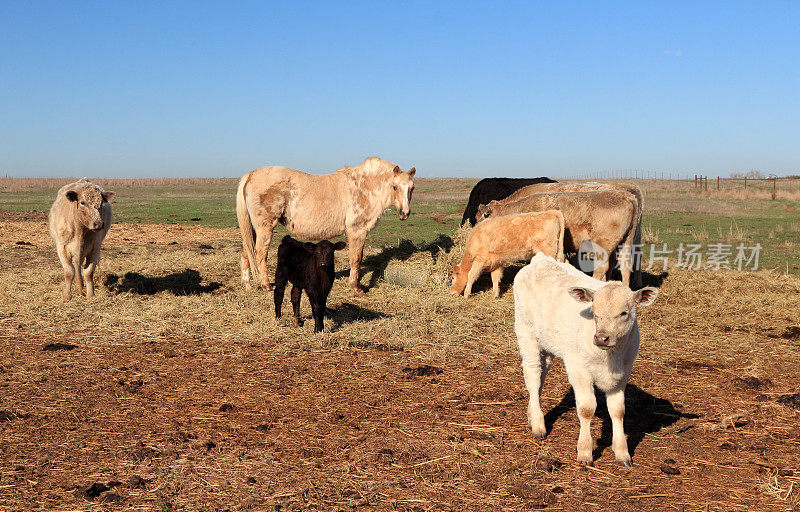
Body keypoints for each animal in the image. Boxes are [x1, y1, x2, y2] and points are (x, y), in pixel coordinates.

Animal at [236, 156, 416, 294]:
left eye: (412, 188)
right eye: (395, 187)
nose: (405, 213)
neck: (364, 187)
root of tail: (251, 175)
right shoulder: (357, 231)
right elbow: (356, 259)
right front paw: (355, 288)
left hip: (253, 229)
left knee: (246, 251)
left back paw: (247, 285)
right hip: (264, 228)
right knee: (260, 253)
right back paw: (266, 286)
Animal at [516, 254, 660, 466]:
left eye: (624, 313)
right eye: (594, 311)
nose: (601, 338)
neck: (610, 358)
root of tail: (540, 259)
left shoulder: (623, 373)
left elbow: (618, 410)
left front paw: (622, 452)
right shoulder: (578, 369)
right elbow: (586, 408)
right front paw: (584, 452)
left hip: (548, 343)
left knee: (541, 375)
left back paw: (531, 414)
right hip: (526, 332)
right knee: (533, 375)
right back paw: (538, 425)